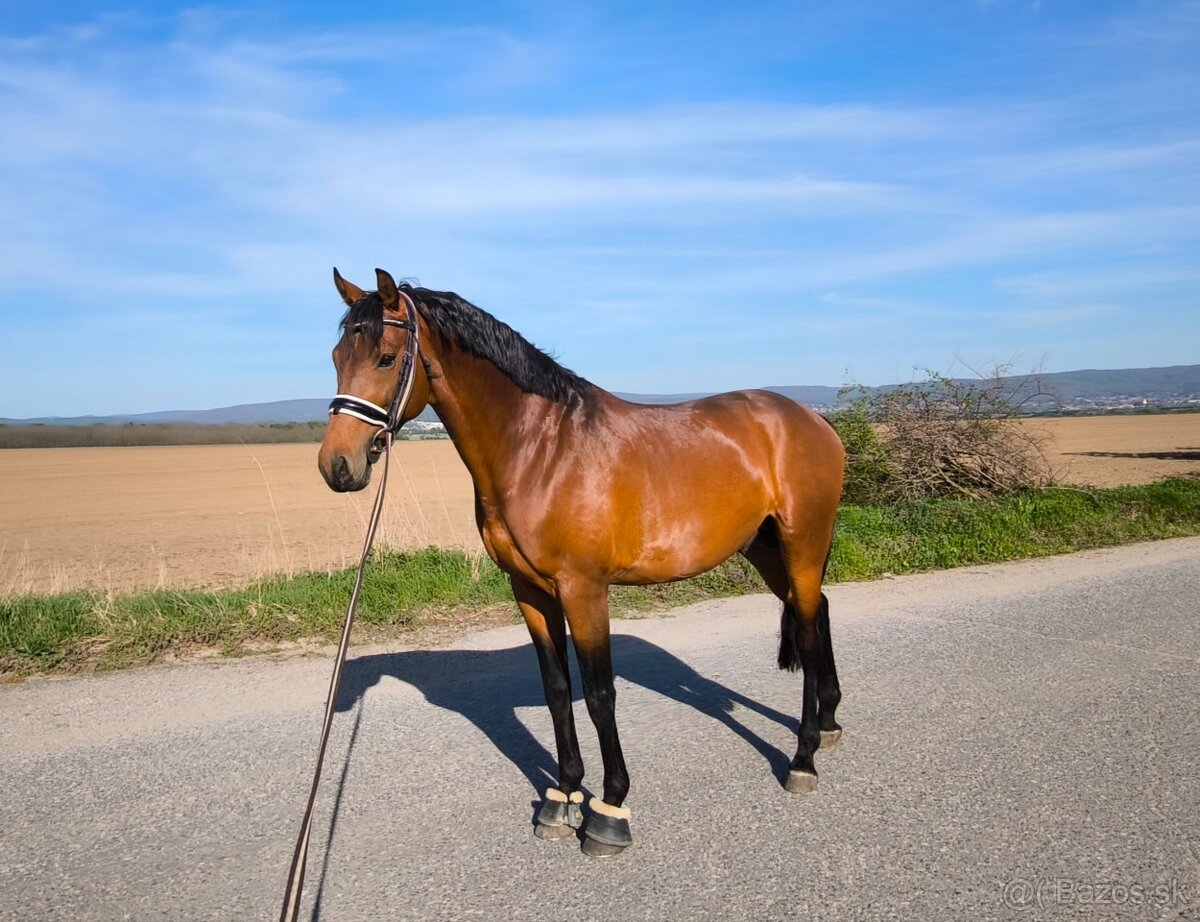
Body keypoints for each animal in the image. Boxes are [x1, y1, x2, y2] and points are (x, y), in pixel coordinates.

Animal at [314, 266, 849, 854]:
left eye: (386, 358)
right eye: (337, 355)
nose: (337, 466)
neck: (541, 450)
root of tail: (814, 420)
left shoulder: (584, 589)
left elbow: (598, 695)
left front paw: (609, 809)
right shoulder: (529, 590)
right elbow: (557, 690)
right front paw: (563, 796)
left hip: (803, 543)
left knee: (807, 630)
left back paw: (803, 758)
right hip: (765, 548)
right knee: (818, 610)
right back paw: (829, 723)